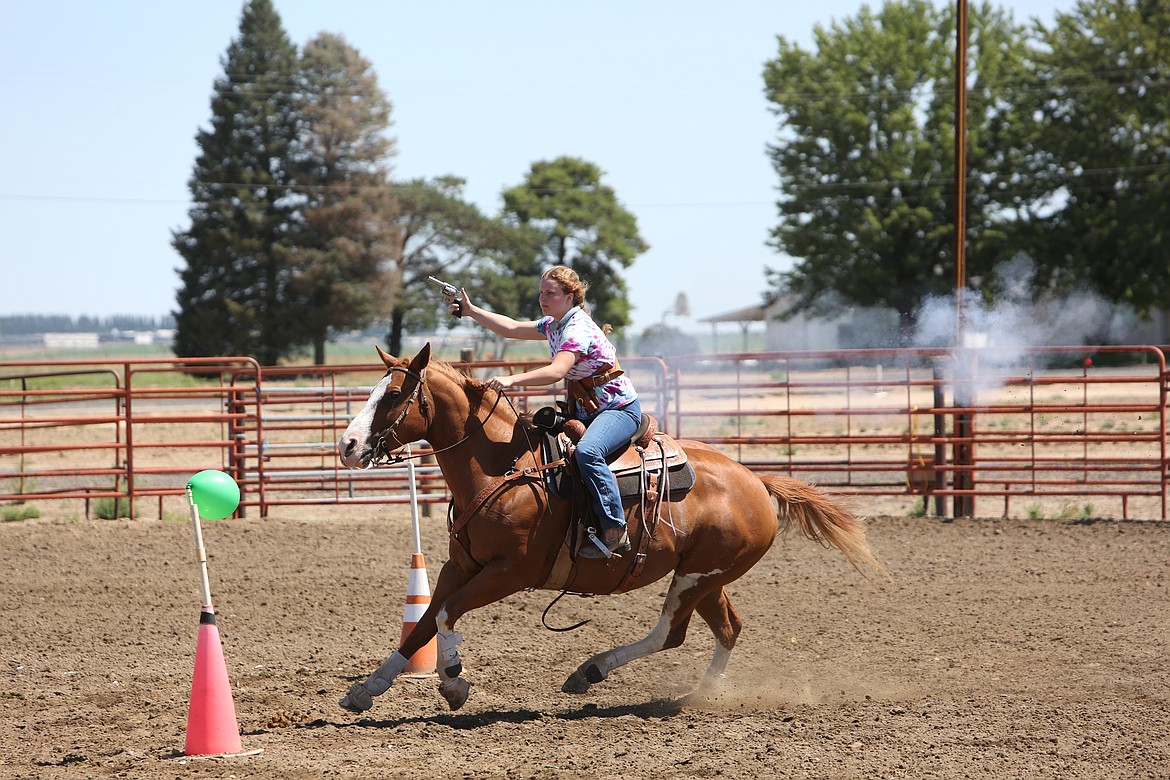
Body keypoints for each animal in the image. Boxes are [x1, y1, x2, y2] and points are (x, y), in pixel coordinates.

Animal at [334, 346, 879, 715]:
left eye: (396, 394)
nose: (347, 446)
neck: (503, 469)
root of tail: (756, 482)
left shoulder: (511, 572)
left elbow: (447, 615)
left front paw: (452, 682)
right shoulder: (460, 564)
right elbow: (424, 621)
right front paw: (367, 688)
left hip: (697, 577)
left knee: (670, 632)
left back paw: (593, 670)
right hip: (707, 577)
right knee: (726, 628)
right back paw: (696, 695)